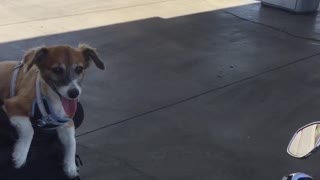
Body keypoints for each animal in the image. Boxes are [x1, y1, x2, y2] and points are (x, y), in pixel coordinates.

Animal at [0, 44, 104, 177]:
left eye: (79, 69)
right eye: (57, 70)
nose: (74, 93)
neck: (51, 98)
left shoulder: (66, 121)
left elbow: (72, 141)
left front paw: (70, 166)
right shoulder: (12, 104)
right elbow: (29, 130)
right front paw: (20, 155)